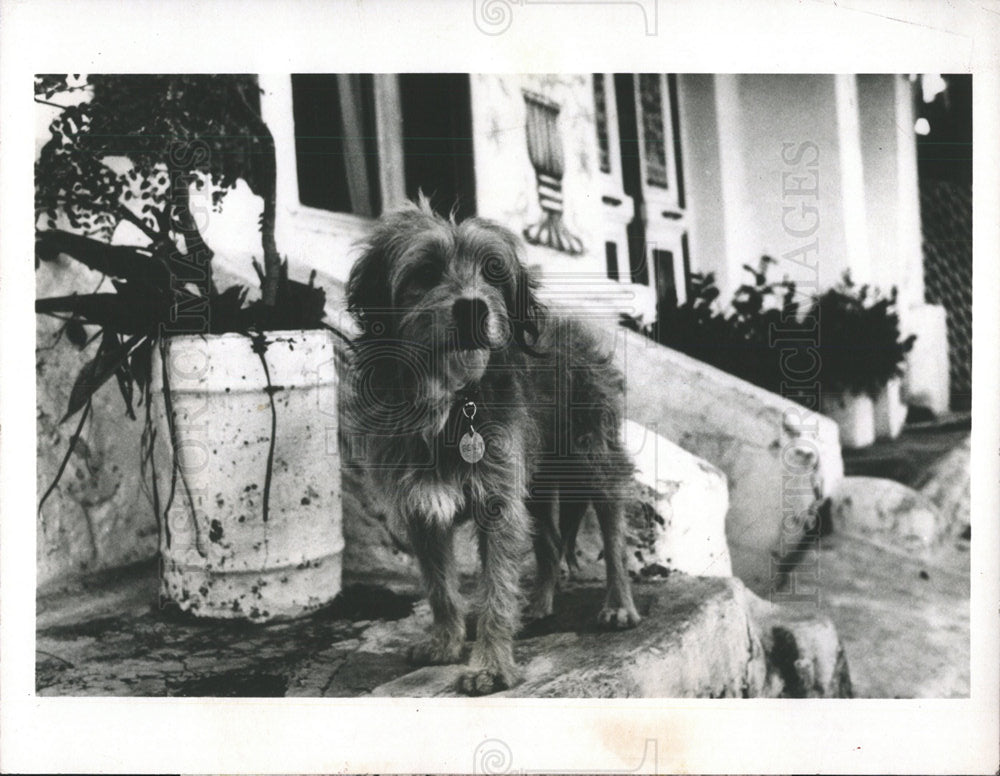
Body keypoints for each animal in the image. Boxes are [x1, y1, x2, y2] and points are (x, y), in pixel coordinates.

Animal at [344, 202, 640, 696]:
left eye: (493, 272)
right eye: (425, 272)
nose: (473, 309)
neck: (454, 401)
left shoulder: (499, 504)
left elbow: (496, 591)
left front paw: (492, 666)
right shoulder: (422, 509)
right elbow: (440, 588)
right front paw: (445, 643)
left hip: (595, 459)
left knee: (614, 534)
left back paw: (618, 605)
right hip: (534, 484)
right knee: (551, 541)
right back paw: (538, 601)